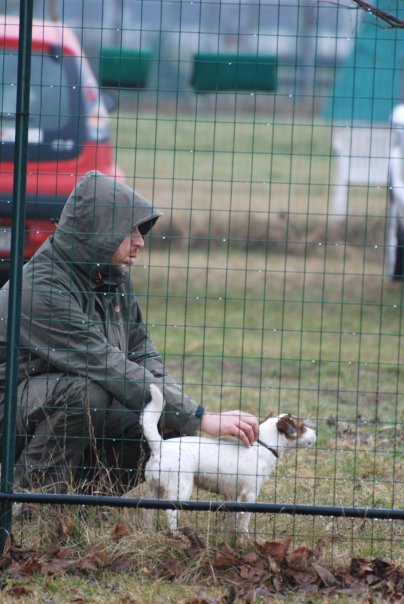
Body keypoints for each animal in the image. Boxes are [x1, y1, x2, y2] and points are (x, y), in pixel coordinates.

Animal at [140, 386, 318, 532]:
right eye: (302, 427)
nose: (316, 433)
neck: (263, 445)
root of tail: (160, 446)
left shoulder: (234, 497)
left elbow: (232, 520)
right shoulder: (250, 494)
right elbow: (244, 523)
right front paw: (244, 540)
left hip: (154, 488)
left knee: (148, 510)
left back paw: (149, 532)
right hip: (181, 488)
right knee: (170, 512)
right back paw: (176, 535)